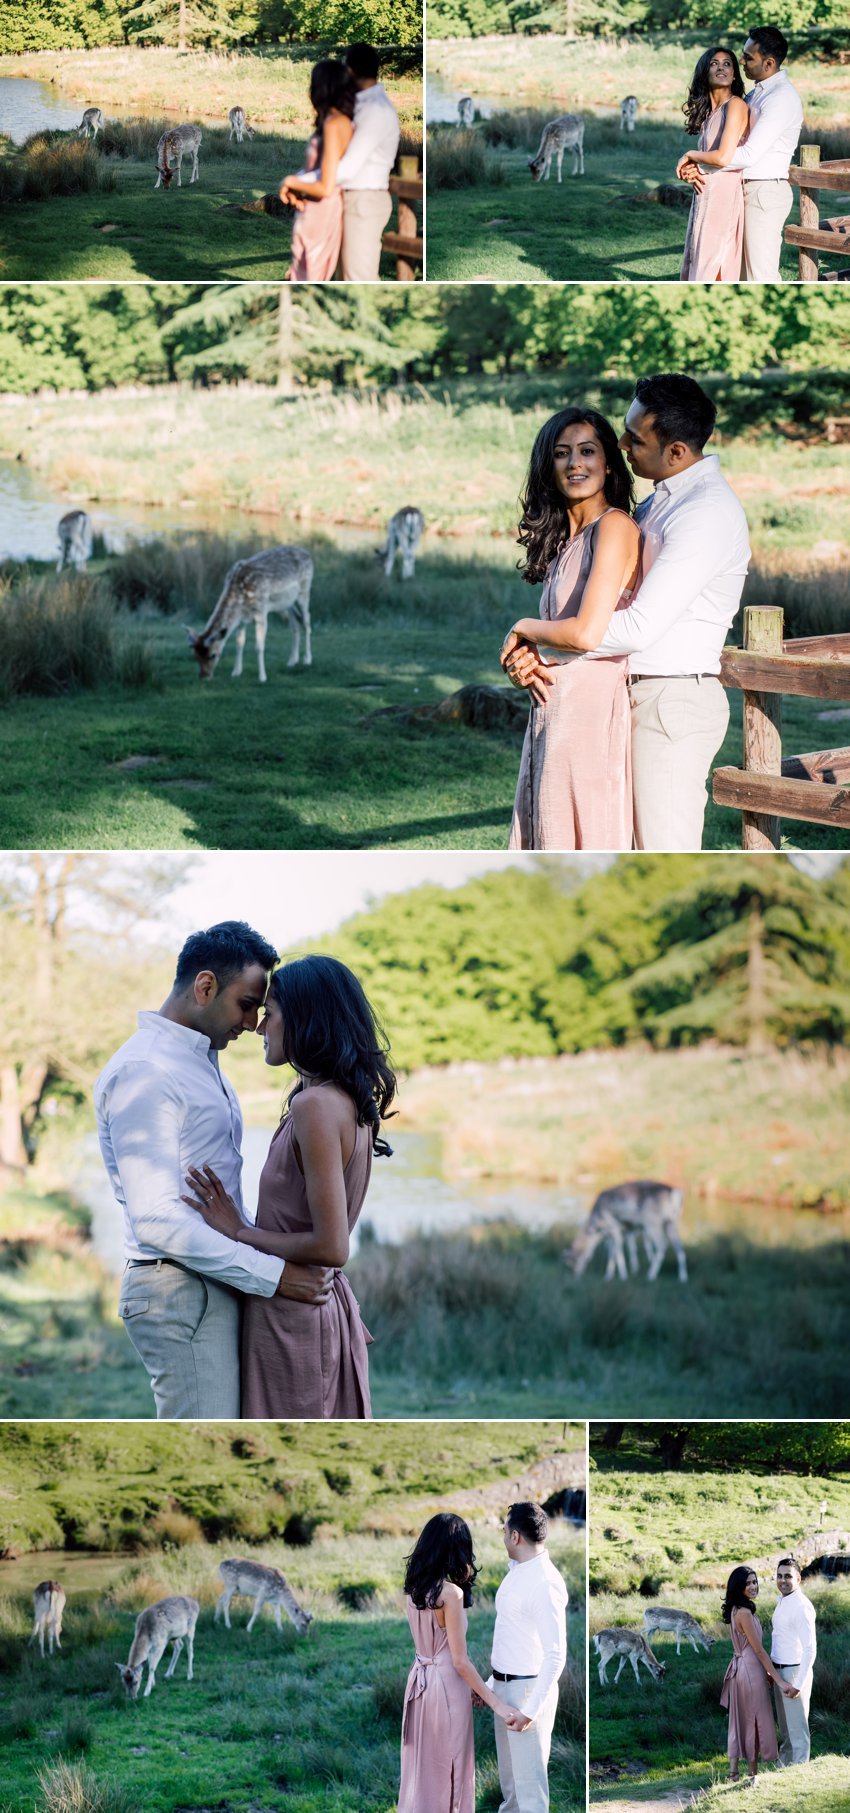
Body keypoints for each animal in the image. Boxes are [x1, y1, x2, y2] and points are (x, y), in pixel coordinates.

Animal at [185, 540, 315, 681]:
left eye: (213, 655)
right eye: (195, 655)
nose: (204, 676)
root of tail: (308, 554)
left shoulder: (261, 611)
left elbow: (259, 646)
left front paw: (262, 677)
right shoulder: (241, 619)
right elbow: (239, 644)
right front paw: (236, 672)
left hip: (304, 590)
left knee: (307, 620)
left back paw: (307, 659)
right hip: (288, 603)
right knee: (296, 622)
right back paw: (292, 661)